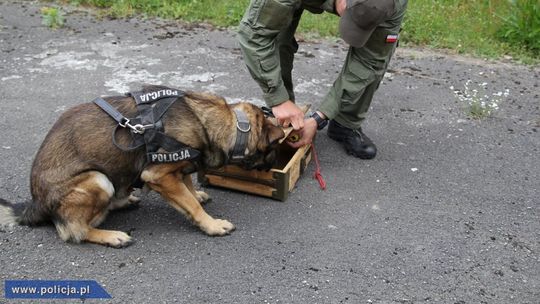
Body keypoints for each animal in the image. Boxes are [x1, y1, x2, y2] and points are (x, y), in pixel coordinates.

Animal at [0, 85, 284, 247]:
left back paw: (123, 201)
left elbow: (189, 188)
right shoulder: (159, 175)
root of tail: (35, 204)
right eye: (272, 151)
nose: (269, 166)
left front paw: (198, 195)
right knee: (73, 232)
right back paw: (110, 236)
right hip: (97, 180)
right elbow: (190, 204)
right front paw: (211, 224)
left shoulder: (177, 169)